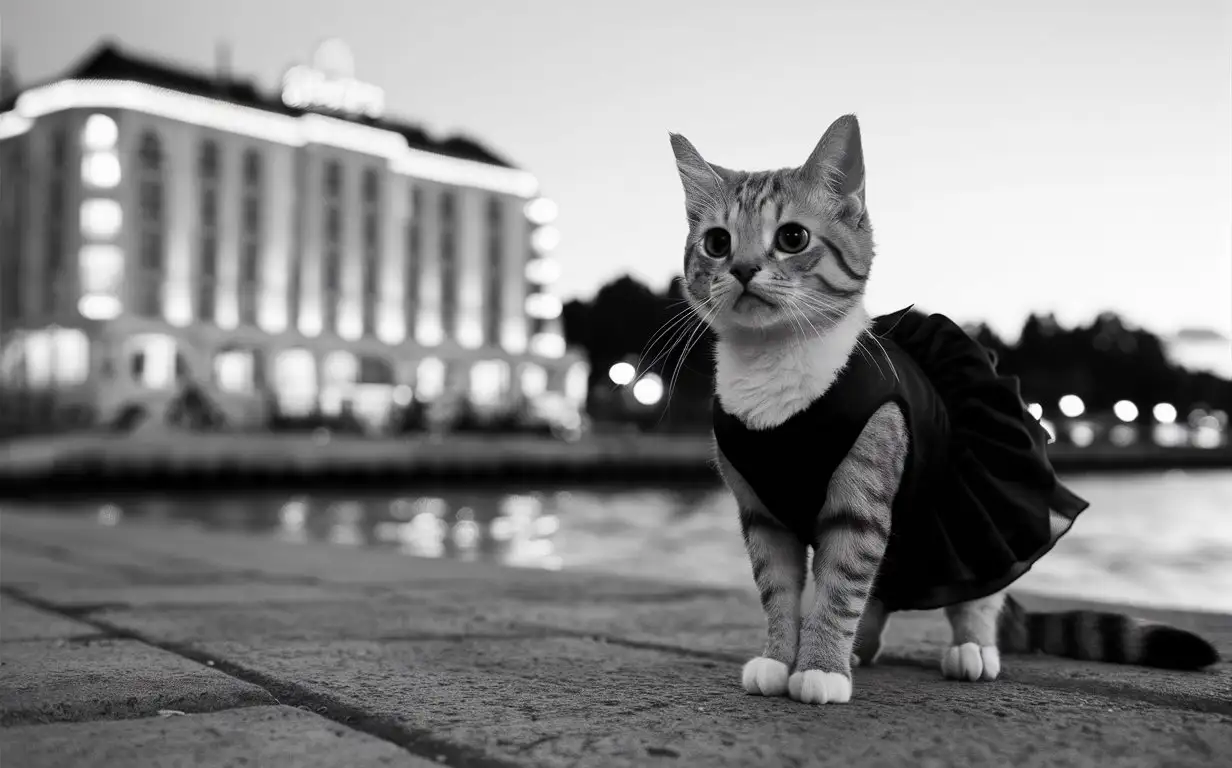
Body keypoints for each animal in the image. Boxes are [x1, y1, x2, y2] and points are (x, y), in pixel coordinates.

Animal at [670, 110, 1217, 705]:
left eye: (792, 237)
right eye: (717, 242)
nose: (742, 268)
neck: (773, 366)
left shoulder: (860, 501)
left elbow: (841, 583)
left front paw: (820, 668)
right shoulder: (762, 514)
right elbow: (779, 590)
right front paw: (779, 658)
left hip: (978, 522)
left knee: (975, 592)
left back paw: (971, 647)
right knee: (882, 591)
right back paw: (860, 649)